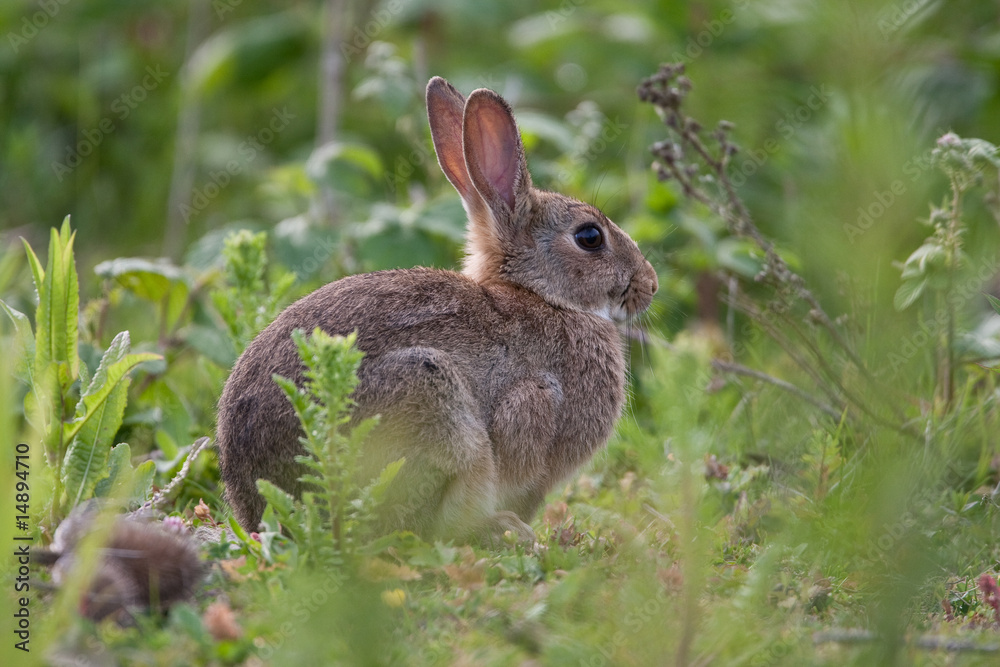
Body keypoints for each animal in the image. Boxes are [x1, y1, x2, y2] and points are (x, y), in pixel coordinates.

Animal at [215, 76, 658, 545]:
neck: (542, 296)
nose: (650, 285)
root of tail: (263, 506)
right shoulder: (529, 404)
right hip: (429, 397)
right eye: (590, 237)